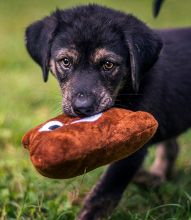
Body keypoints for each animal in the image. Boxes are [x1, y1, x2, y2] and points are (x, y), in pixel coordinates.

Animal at [25, 3, 191, 220]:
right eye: (66, 61)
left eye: (108, 64)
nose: (82, 108)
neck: (126, 89)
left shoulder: (135, 147)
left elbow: (104, 193)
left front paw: (88, 215)